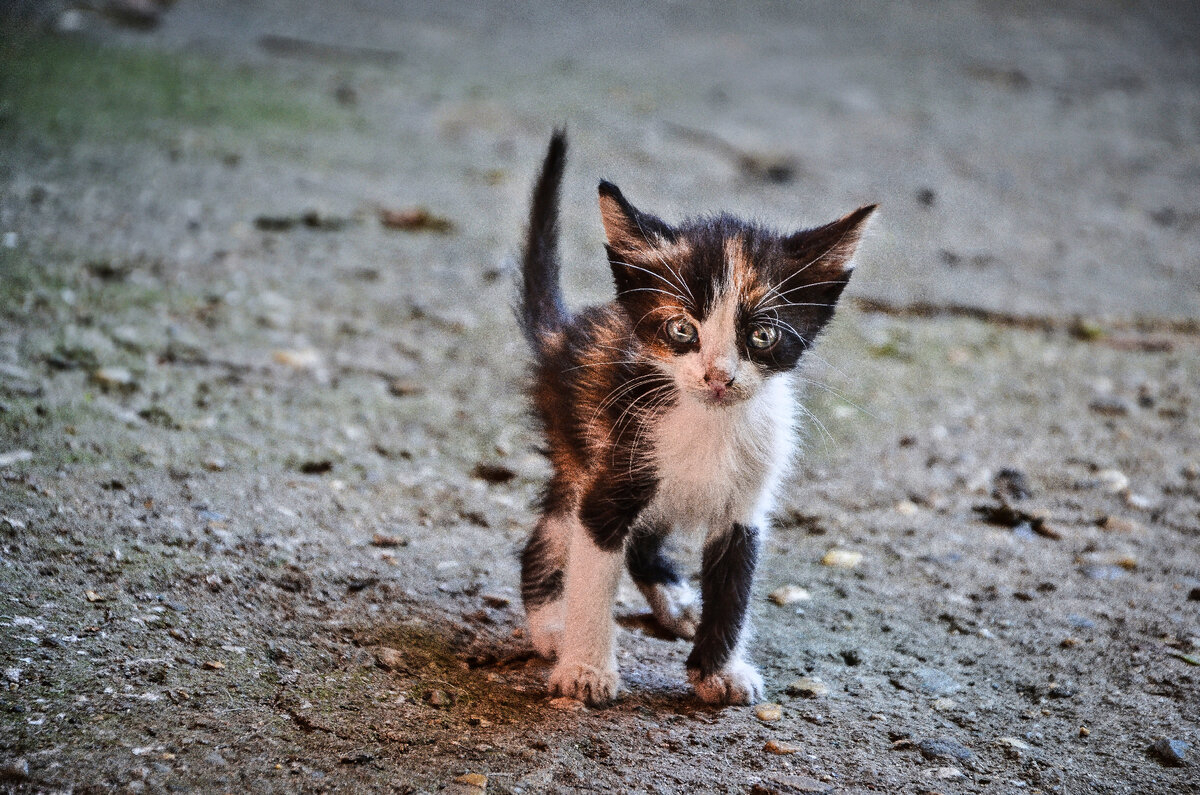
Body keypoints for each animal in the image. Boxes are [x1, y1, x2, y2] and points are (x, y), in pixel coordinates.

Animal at [516, 132, 873, 710]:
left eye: (763, 335)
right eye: (682, 328)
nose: (718, 376)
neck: (710, 424)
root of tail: (562, 335)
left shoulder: (746, 503)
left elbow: (734, 586)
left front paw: (718, 671)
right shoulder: (613, 475)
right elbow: (593, 576)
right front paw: (587, 667)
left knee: (642, 540)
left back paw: (677, 601)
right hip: (580, 446)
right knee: (551, 534)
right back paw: (552, 627)